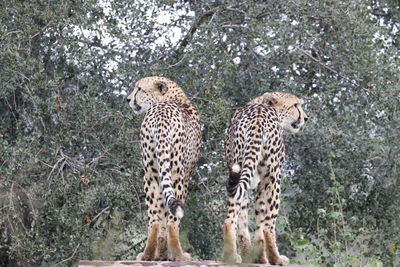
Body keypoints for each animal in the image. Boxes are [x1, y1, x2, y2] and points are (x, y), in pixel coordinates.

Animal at [127, 76, 202, 260]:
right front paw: (167, 254)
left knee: (154, 219)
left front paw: (160, 254)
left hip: (151, 176)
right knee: (172, 220)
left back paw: (147, 255)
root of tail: (161, 112)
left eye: (139, 89)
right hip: (176, 175)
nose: (128, 99)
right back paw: (180, 255)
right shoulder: (187, 175)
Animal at [223, 92, 308, 266]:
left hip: (237, 171)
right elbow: (264, 222)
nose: (305, 118)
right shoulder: (271, 178)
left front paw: (255, 257)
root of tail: (256, 117)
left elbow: (247, 223)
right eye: (296, 105)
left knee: (230, 218)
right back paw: (276, 258)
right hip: (272, 178)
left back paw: (232, 256)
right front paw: (266, 258)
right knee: (270, 224)